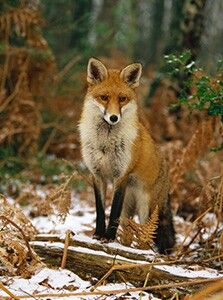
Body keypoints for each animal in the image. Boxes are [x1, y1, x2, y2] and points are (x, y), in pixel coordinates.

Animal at [79, 58, 175, 253]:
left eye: (122, 99)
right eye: (104, 97)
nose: (114, 118)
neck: (105, 143)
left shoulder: (121, 176)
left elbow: (113, 211)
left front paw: (108, 237)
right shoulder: (96, 174)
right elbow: (100, 210)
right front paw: (98, 234)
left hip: (146, 209)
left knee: (146, 236)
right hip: (128, 213)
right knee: (128, 233)